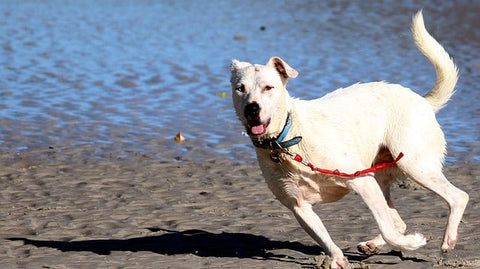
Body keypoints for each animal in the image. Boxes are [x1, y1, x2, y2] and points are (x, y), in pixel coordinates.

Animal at [229, 11, 468, 268]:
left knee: (457, 197)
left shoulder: (362, 182)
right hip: (382, 174)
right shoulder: (299, 207)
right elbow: (323, 236)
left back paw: (447, 240)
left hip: (413, 165)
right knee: (397, 219)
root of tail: (423, 101)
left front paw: (413, 243)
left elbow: (387, 228)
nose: (252, 108)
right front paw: (336, 259)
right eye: (240, 88)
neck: (286, 141)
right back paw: (374, 244)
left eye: (269, 87)